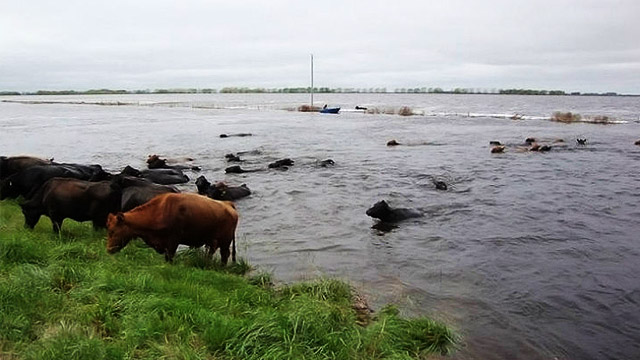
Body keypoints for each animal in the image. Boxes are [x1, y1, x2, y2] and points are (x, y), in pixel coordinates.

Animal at [106, 193, 239, 262]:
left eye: (112, 231)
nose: (108, 250)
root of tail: (227, 204)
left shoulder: (173, 240)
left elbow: (170, 257)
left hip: (225, 241)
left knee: (224, 255)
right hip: (213, 240)